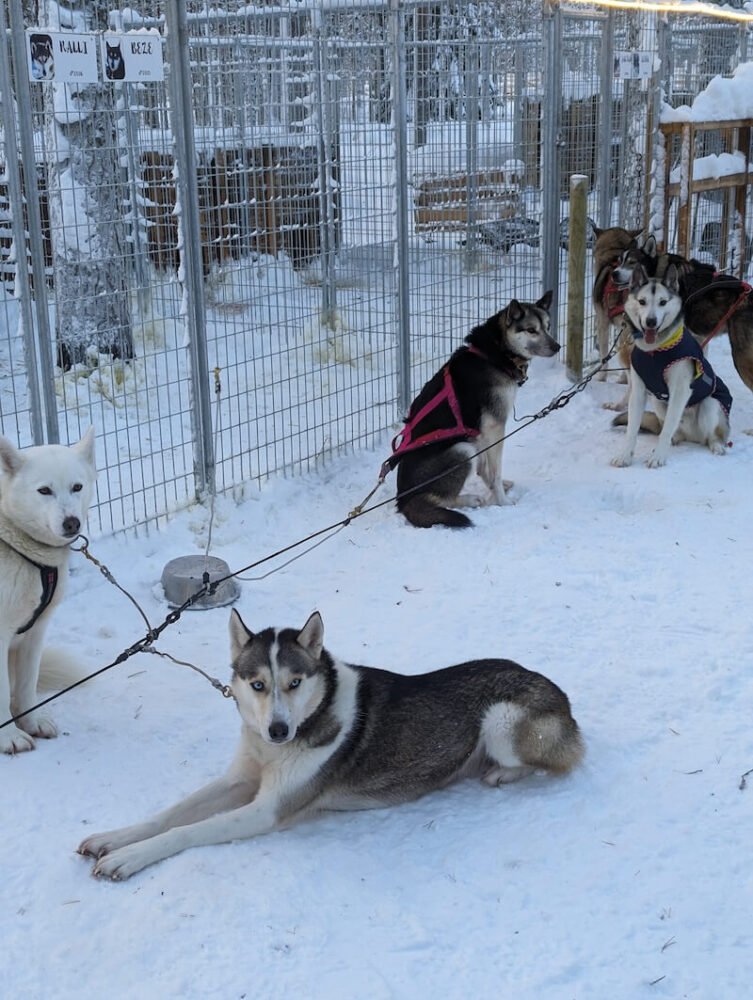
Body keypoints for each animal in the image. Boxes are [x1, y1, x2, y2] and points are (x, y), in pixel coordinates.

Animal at [0, 428, 97, 752]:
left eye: (77, 487)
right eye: (44, 491)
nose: (72, 523)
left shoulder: (35, 633)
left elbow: (26, 686)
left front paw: (31, 723)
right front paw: (9, 737)